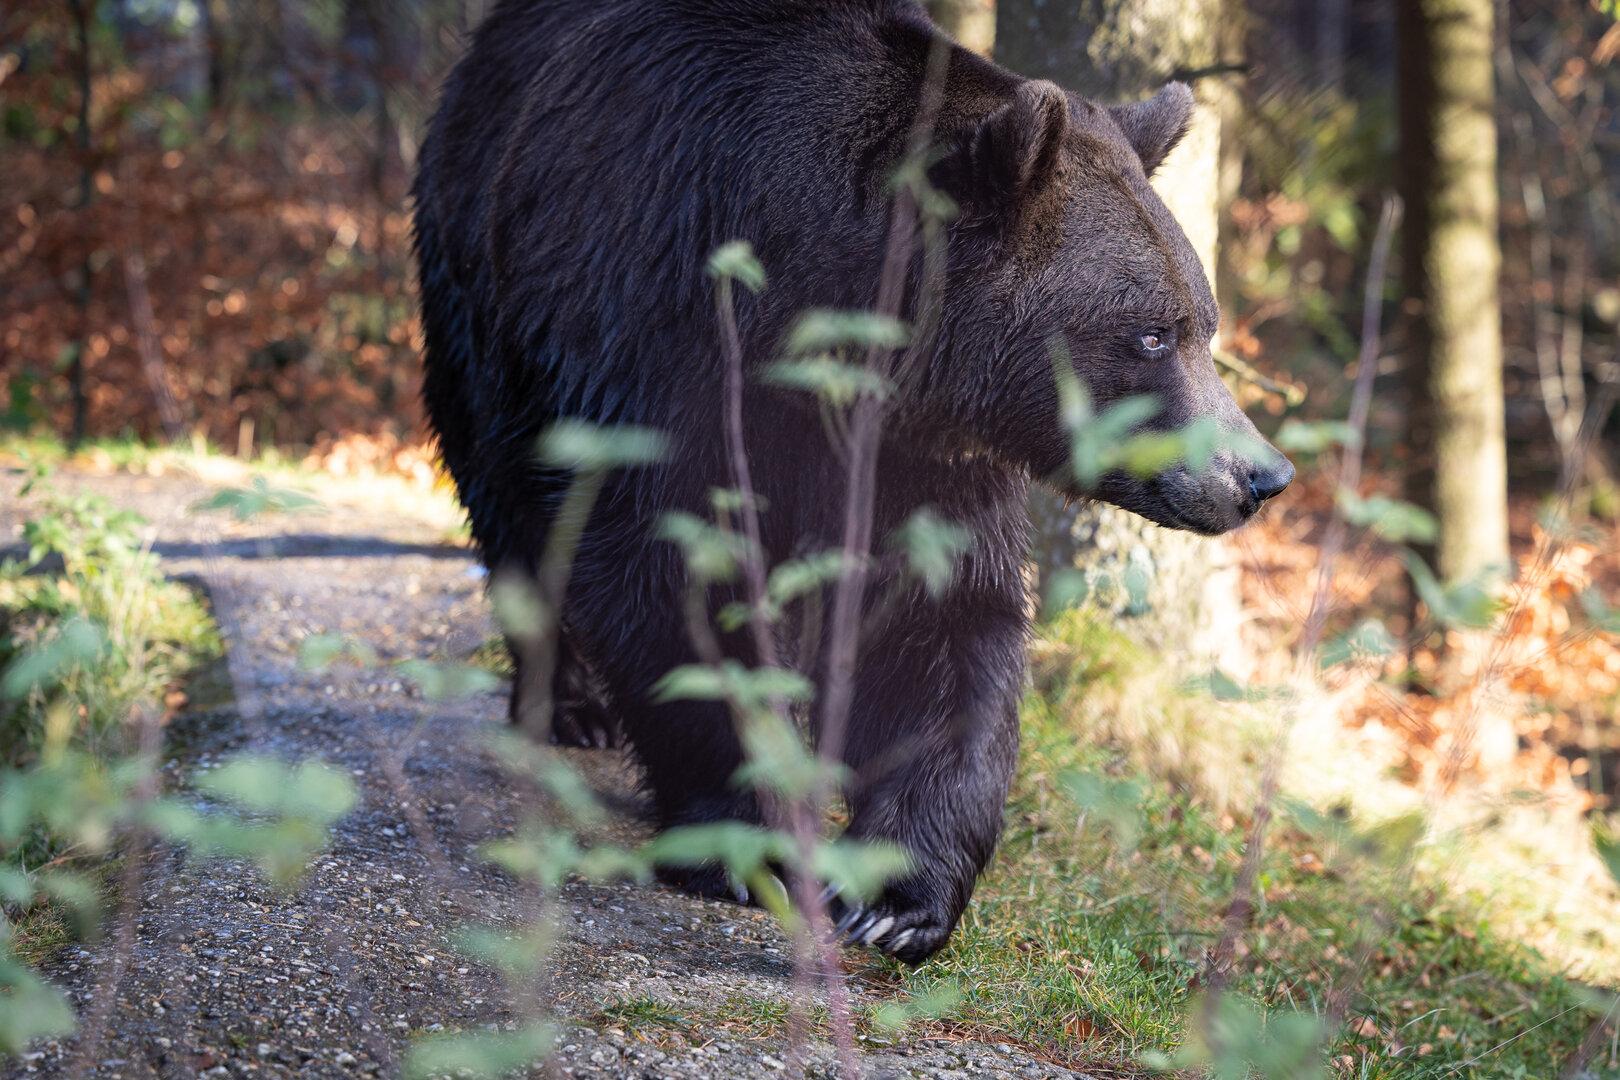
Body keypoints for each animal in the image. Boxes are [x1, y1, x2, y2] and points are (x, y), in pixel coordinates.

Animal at [412, 0, 1292, 963]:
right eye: (1151, 334)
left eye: (1203, 323)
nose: (1260, 476)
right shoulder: (657, 341)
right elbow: (668, 575)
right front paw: (746, 836)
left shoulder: (918, 452)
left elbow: (939, 624)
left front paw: (897, 895)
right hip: (484, 311)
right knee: (517, 514)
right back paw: (569, 704)